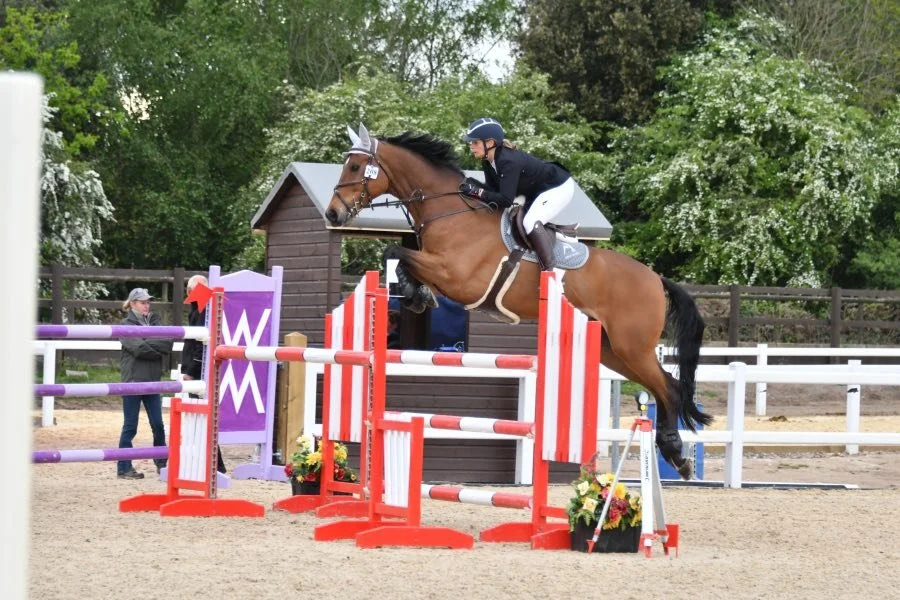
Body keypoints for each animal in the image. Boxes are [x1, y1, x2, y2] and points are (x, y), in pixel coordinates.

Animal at [325, 124, 712, 479]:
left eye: (355, 167)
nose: (332, 215)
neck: (450, 212)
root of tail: (655, 278)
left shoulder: (456, 277)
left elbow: (396, 251)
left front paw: (417, 294)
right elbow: (400, 256)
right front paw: (417, 295)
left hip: (632, 346)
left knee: (670, 387)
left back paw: (676, 454)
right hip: (612, 350)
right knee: (661, 386)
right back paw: (673, 453)